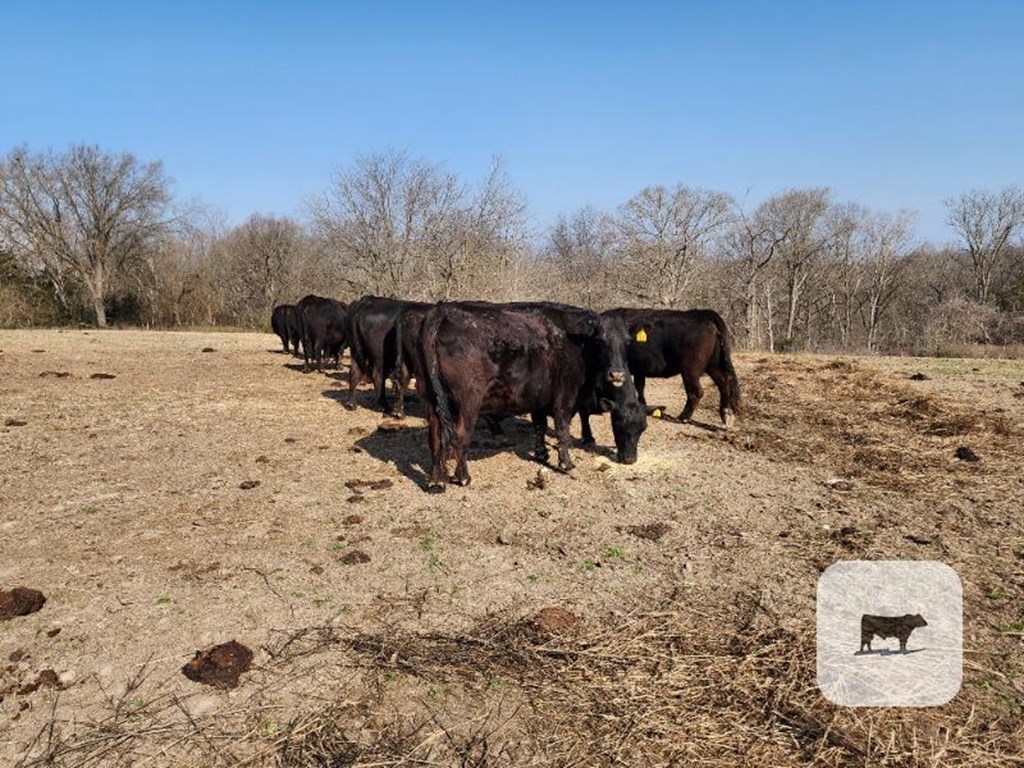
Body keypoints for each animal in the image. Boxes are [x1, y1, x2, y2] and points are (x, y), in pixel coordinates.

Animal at [417, 303, 643, 493]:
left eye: (627, 342)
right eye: (600, 341)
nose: (617, 375)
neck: (575, 342)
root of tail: (443, 310)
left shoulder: (539, 396)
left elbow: (540, 425)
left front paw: (542, 454)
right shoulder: (565, 396)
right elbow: (562, 429)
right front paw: (566, 463)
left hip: (431, 399)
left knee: (434, 436)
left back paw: (436, 481)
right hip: (468, 400)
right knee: (461, 435)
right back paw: (463, 476)